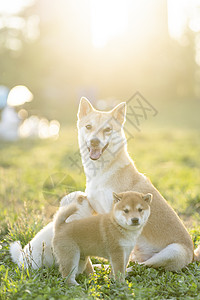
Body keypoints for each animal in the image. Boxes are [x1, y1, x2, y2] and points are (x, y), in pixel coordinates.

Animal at [77, 97, 200, 270]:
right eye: (88, 126)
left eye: (107, 129)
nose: (94, 141)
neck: (102, 170)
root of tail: (193, 256)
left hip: (173, 250)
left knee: (141, 267)